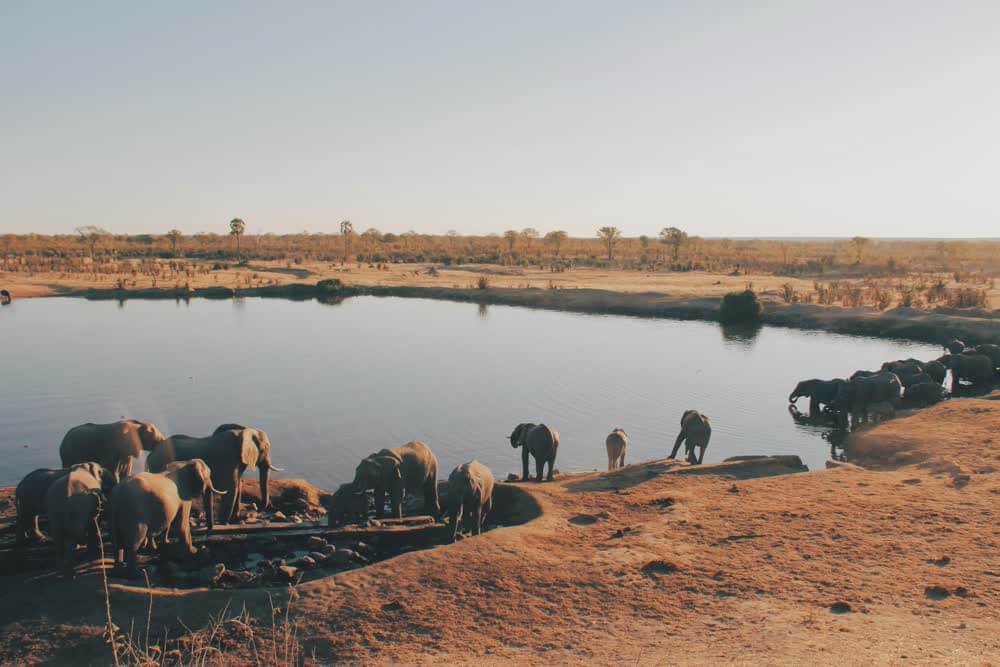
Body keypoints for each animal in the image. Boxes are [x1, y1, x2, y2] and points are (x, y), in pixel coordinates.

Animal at [145, 426, 280, 528]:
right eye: (264, 449)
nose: (259, 508)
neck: (243, 432)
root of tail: (151, 454)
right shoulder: (228, 459)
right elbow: (232, 488)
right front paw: (225, 523)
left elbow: (237, 487)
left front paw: (233, 520)